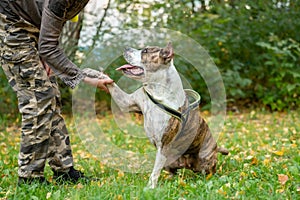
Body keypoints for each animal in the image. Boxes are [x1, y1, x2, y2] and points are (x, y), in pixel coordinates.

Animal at [82, 42, 227, 188]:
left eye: (145, 51)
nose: (125, 48)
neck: (156, 89)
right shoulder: (126, 102)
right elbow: (111, 84)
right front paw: (91, 72)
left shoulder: (164, 145)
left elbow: (155, 171)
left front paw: (149, 188)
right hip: (170, 162)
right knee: (173, 171)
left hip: (203, 160)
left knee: (208, 171)